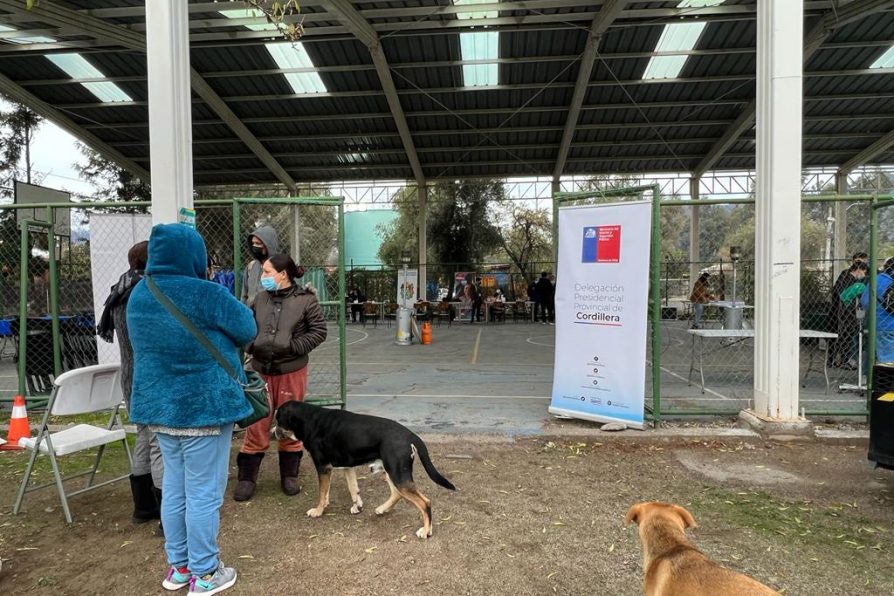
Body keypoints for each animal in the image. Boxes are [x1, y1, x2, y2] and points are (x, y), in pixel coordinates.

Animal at [272, 402, 456, 536]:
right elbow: (353, 489)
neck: (310, 420)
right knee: (397, 494)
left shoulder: (323, 466)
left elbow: (322, 493)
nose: (272, 432)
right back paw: (383, 509)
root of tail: (410, 434)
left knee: (425, 502)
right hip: (391, 471)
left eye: (278, 420)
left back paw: (425, 531)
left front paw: (318, 510)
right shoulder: (346, 467)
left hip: (397, 473)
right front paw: (357, 506)